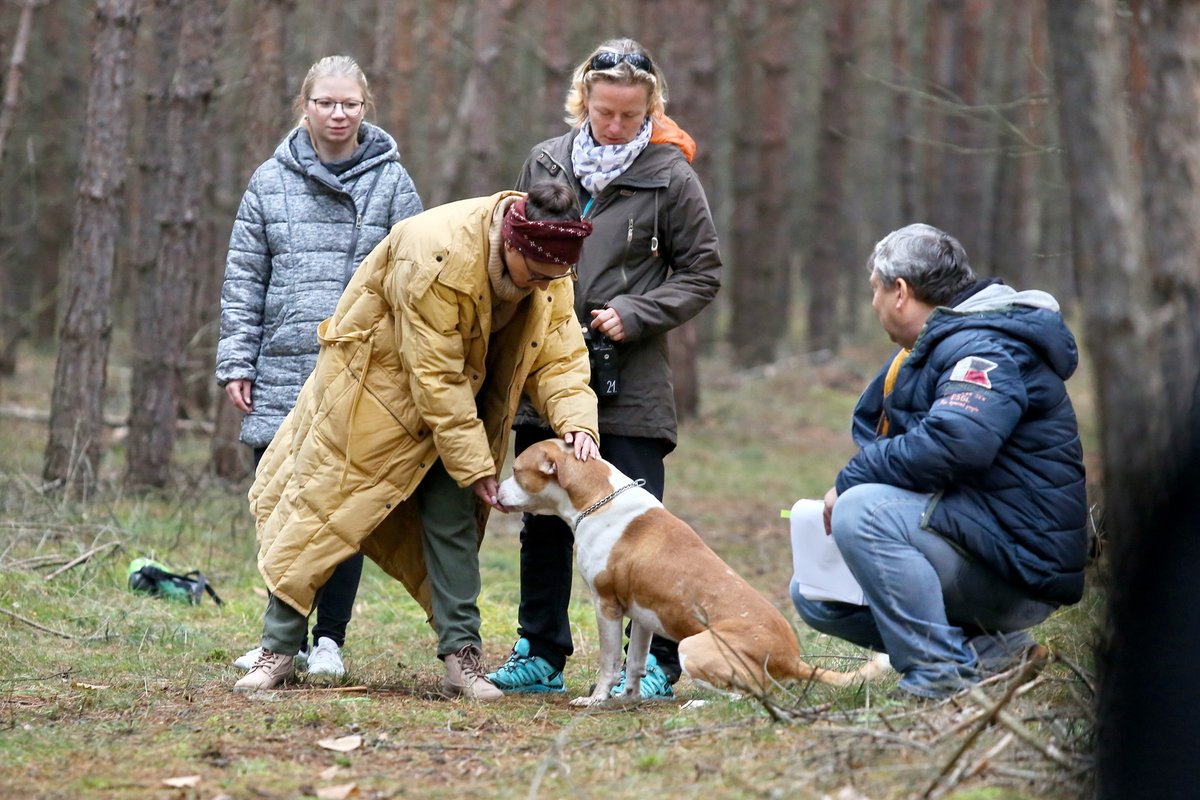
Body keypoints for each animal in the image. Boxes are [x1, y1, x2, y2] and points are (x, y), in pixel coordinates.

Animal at [496, 438, 892, 705]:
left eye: (516, 471)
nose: (495, 490)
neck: (597, 498)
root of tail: (791, 658)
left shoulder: (606, 605)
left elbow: (608, 662)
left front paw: (597, 700)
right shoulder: (642, 615)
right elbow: (635, 662)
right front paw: (628, 698)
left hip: (694, 647)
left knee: (752, 694)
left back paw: (701, 702)